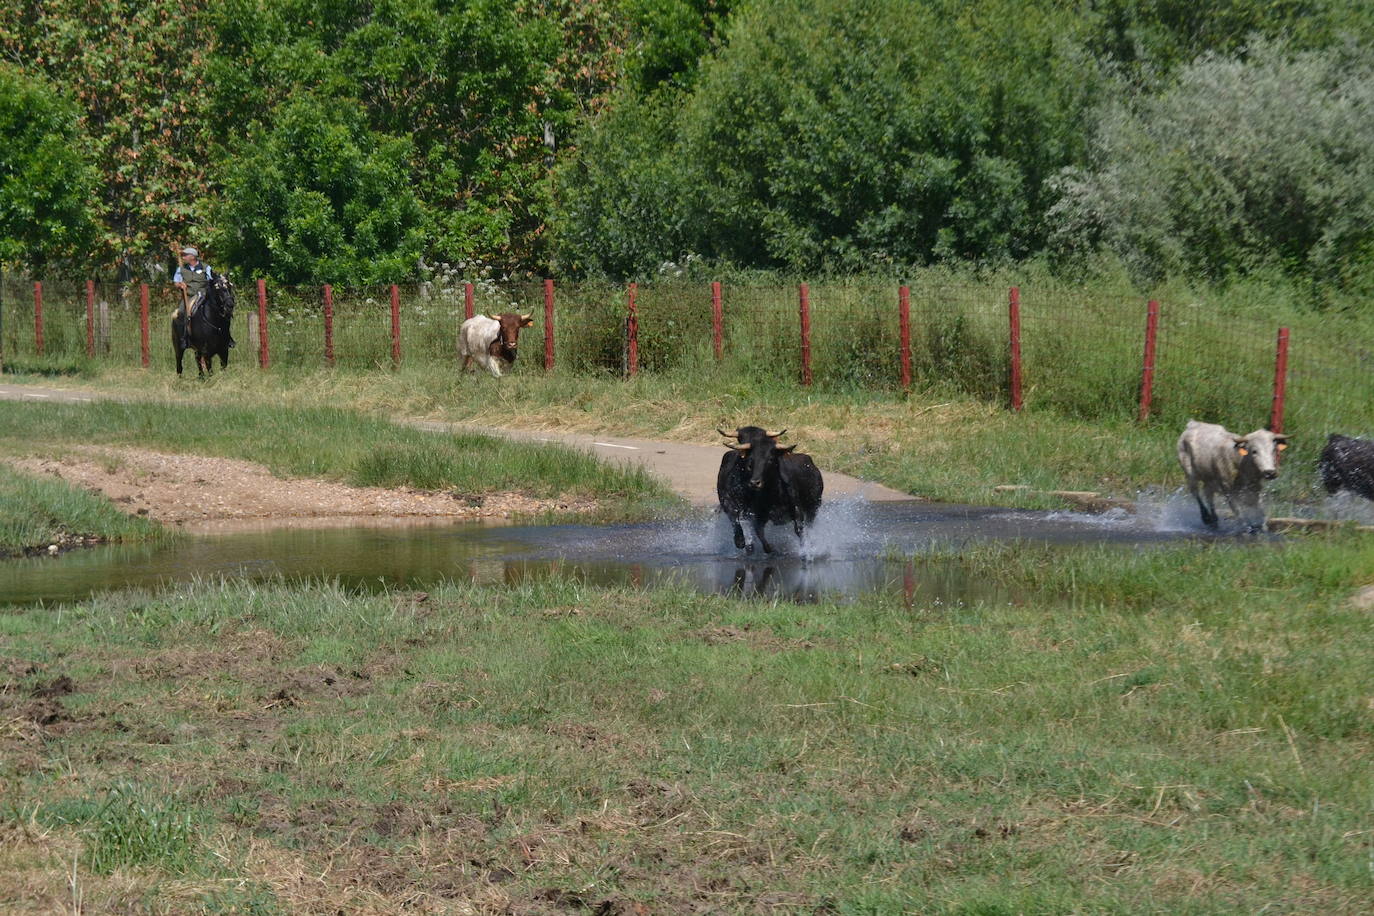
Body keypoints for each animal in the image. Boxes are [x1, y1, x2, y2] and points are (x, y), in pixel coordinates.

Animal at [714, 425, 818, 554]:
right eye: (741, 439)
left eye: (771, 459)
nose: (755, 482)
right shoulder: (733, 505)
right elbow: (743, 525)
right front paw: (742, 542)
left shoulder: (797, 510)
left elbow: (800, 530)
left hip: (813, 507)